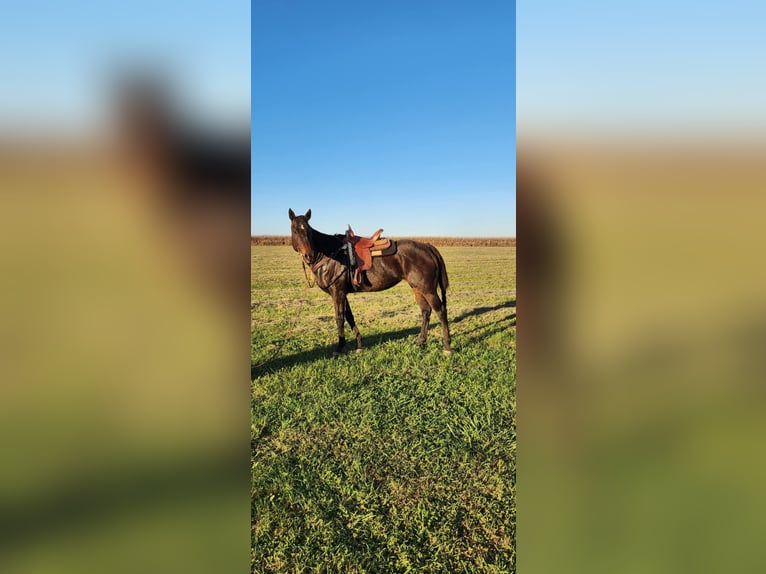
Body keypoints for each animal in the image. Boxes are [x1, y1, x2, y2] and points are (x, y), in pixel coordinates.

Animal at [292, 209, 452, 358]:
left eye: (308, 231)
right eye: (294, 230)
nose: (308, 255)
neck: (331, 254)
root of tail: (428, 247)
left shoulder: (337, 293)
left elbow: (339, 318)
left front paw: (339, 348)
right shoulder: (343, 293)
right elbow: (350, 317)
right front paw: (359, 345)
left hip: (428, 290)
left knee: (441, 311)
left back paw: (447, 346)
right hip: (417, 288)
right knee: (426, 311)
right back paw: (420, 342)